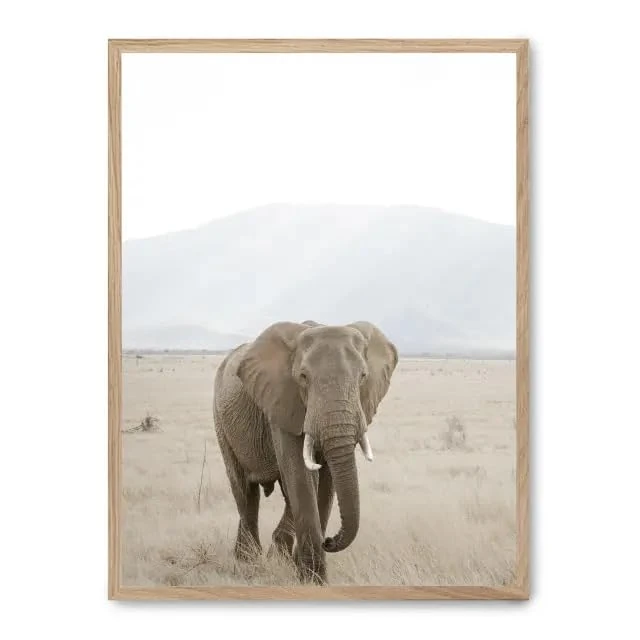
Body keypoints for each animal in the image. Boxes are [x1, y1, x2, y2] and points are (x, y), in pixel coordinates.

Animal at [213, 320, 398, 583]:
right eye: (303, 377)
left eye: (363, 377)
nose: (329, 540)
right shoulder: (282, 402)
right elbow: (300, 475)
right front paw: (312, 580)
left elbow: (327, 481)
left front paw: (306, 573)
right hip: (221, 421)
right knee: (245, 491)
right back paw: (248, 560)